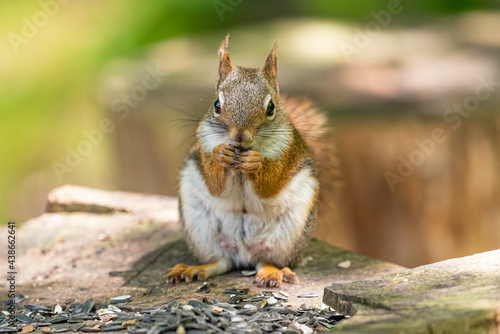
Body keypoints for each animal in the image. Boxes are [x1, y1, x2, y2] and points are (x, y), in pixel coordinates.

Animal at [167, 35, 336, 288]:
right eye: (216, 105)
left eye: (271, 107)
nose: (239, 136)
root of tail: (244, 253)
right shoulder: (204, 148)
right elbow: (214, 184)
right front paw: (221, 155)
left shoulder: (285, 154)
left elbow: (270, 185)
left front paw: (255, 163)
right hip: (201, 229)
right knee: (221, 261)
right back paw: (193, 269)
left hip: (288, 234)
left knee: (265, 260)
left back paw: (271, 273)